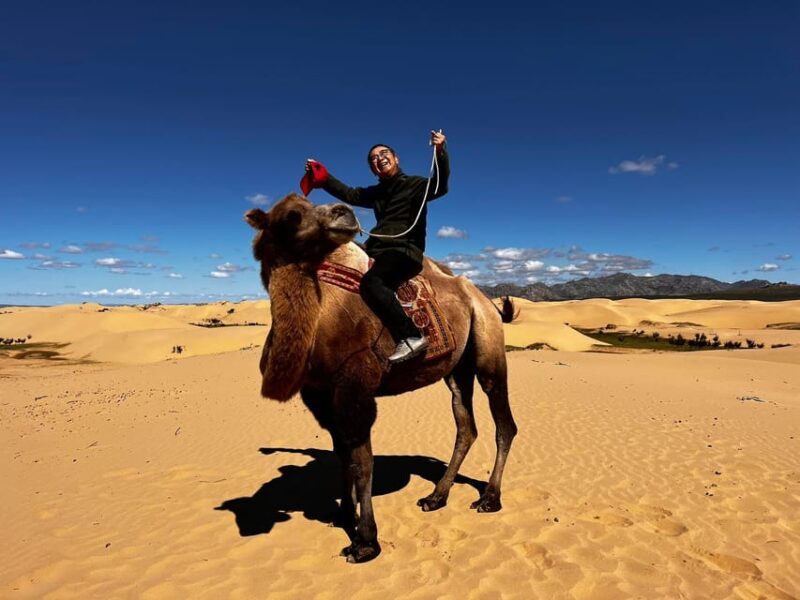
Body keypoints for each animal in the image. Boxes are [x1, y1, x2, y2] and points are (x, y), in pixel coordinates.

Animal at [244, 193, 517, 563]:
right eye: (291, 215)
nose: (343, 213)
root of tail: (484, 298)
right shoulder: (320, 395)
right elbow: (342, 456)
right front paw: (343, 515)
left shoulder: (356, 388)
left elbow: (361, 462)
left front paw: (364, 541)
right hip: (456, 369)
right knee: (466, 425)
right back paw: (436, 497)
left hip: (488, 346)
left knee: (503, 421)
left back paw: (489, 498)